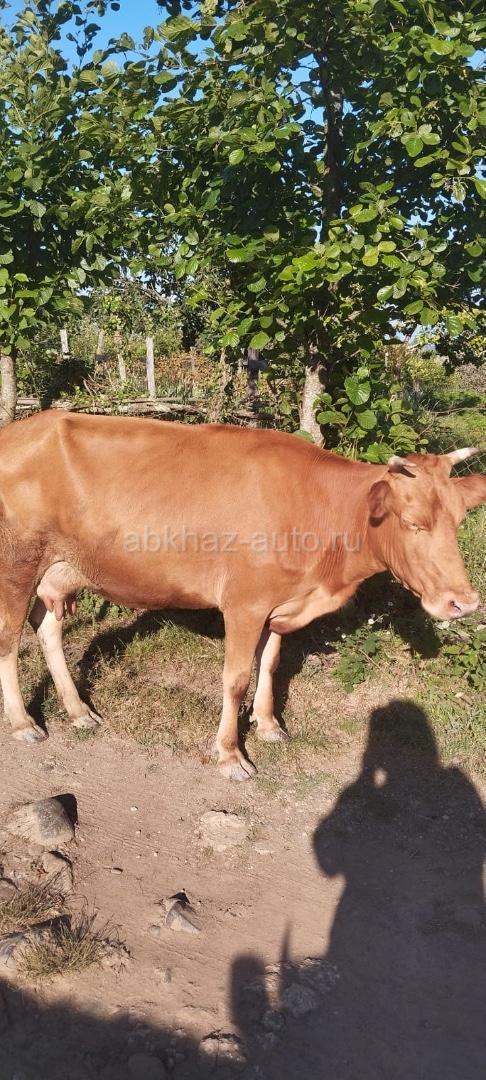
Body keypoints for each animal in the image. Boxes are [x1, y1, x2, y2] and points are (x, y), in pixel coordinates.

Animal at [0, 411, 484, 780]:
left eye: (460, 519)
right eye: (413, 522)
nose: (464, 603)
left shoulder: (279, 603)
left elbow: (269, 662)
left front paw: (268, 724)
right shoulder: (245, 603)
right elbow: (235, 679)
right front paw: (231, 754)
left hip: (57, 570)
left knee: (48, 631)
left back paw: (78, 711)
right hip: (17, 565)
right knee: (8, 640)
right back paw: (23, 722)